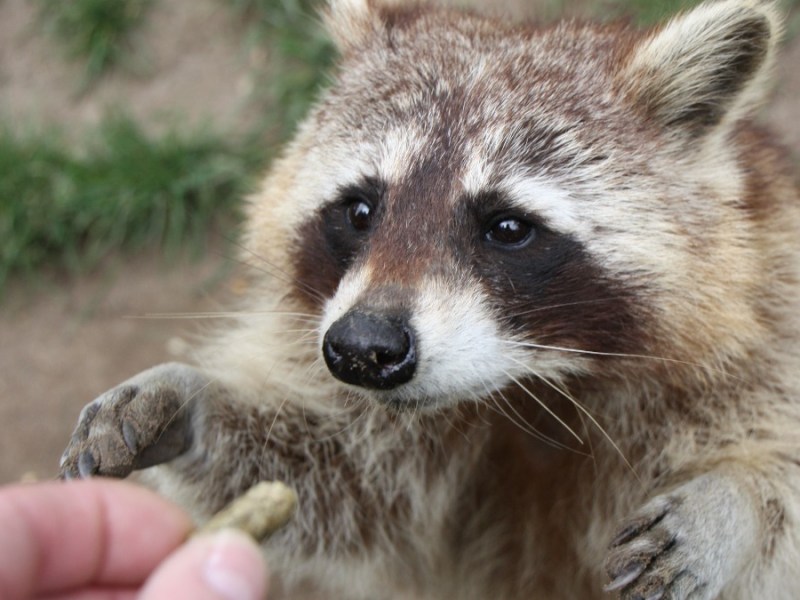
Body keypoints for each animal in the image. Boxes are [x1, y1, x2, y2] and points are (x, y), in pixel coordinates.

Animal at [59, 0, 800, 596]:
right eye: (360, 211)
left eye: (508, 228)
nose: (361, 350)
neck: (533, 383)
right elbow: (344, 483)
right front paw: (191, 399)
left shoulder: (773, 316)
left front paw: (734, 504)